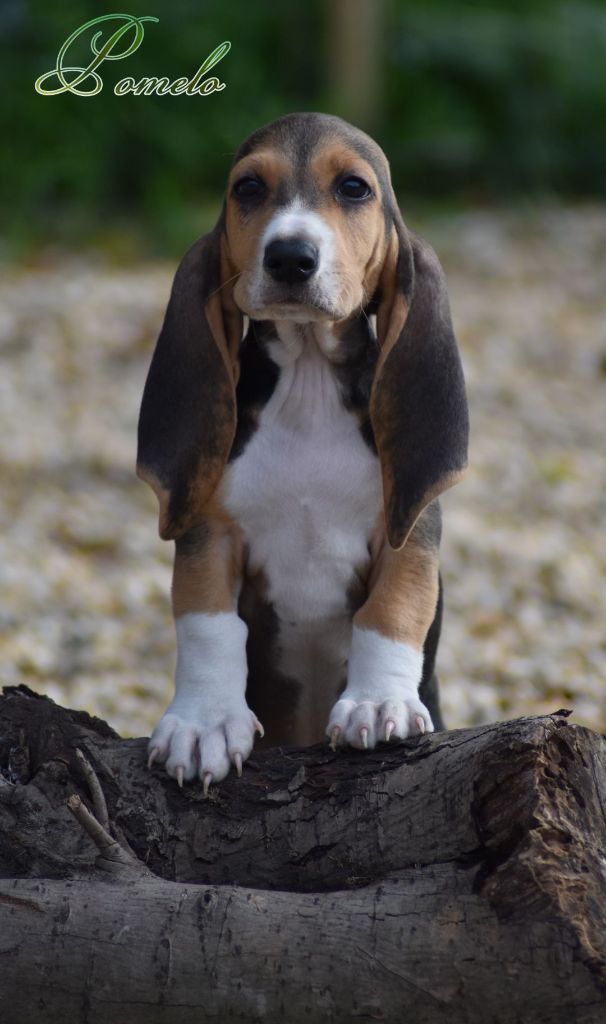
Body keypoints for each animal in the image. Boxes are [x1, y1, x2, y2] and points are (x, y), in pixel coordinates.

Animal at [137, 112, 469, 791]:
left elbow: (392, 609)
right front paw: (204, 723)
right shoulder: (212, 532)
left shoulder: (409, 523)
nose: (291, 256)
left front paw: (379, 703)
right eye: (246, 188)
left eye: (353, 188)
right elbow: (207, 623)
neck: (309, 380)